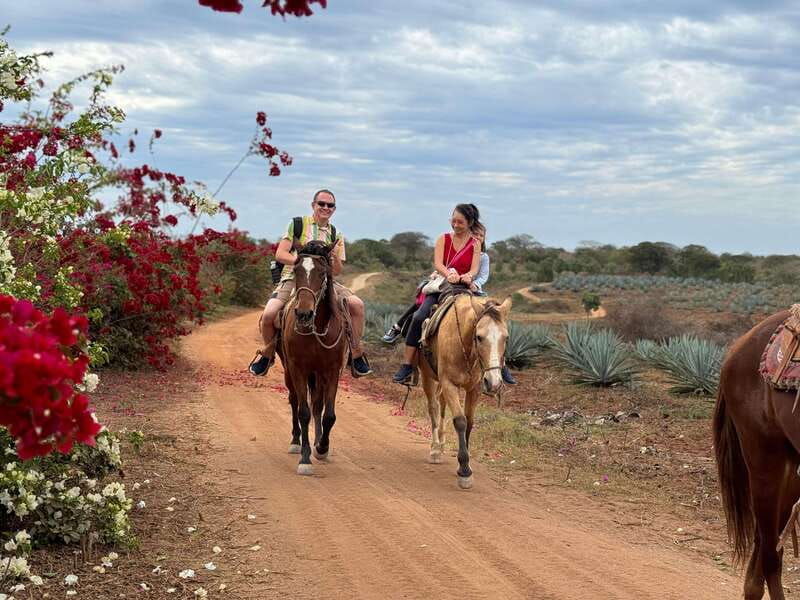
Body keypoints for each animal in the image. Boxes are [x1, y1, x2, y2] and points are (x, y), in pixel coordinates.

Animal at [276, 241, 349, 476]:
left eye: (322, 272)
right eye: (297, 270)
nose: (303, 314)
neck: (317, 327)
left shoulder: (332, 371)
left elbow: (328, 414)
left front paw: (322, 448)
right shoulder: (298, 368)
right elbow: (303, 412)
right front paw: (305, 459)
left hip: (318, 375)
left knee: (318, 405)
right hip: (290, 371)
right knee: (294, 401)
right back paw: (295, 441)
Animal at [418, 293, 511, 489]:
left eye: (506, 338)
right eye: (479, 337)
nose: (494, 382)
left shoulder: (474, 389)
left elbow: (469, 422)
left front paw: (464, 463)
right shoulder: (449, 384)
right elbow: (460, 421)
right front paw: (464, 471)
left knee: (441, 405)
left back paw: (442, 444)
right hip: (428, 377)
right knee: (433, 407)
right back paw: (435, 449)